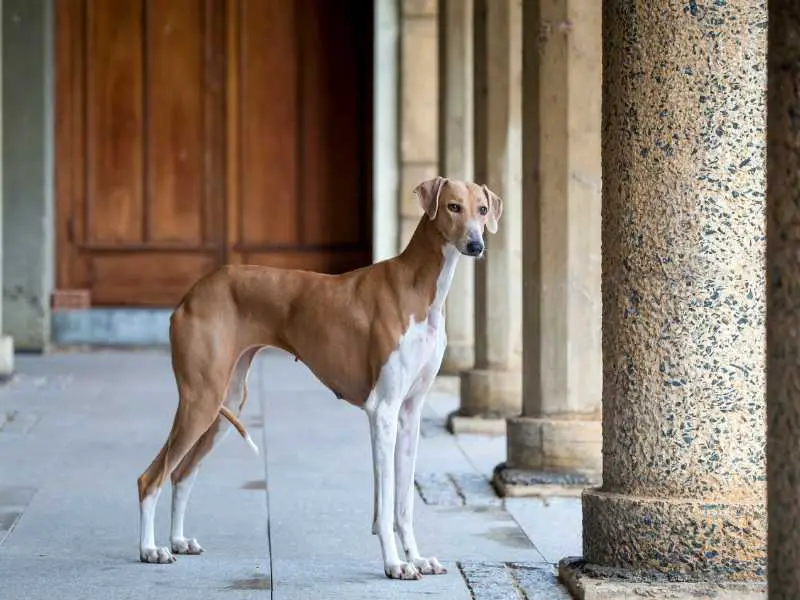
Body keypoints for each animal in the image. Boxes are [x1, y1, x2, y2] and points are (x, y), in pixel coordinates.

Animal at [137, 176, 500, 580]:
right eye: (453, 206)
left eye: (482, 209)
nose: (476, 245)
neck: (419, 288)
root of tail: (191, 293)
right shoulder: (383, 411)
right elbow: (386, 503)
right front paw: (395, 564)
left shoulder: (409, 413)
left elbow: (404, 501)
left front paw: (417, 558)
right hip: (201, 401)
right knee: (151, 477)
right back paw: (150, 549)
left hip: (224, 405)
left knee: (181, 473)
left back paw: (177, 541)